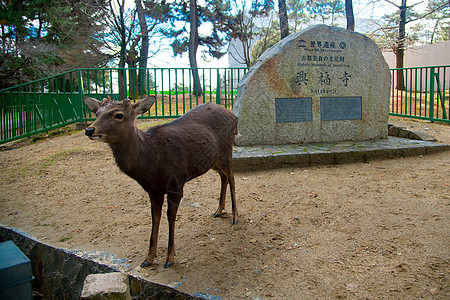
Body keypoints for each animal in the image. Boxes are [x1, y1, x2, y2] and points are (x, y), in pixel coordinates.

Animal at [83, 95, 239, 268]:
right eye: (96, 113)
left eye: (118, 115)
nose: (89, 129)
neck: (150, 163)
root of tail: (233, 115)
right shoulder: (153, 191)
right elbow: (155, 218)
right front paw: (148, 259)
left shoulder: (176, 184)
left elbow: (170, 216)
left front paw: (170, 258)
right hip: (212, 161)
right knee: (223, 177)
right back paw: (218, 210)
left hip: (226, 150)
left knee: (231, 177)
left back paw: (235, 217)